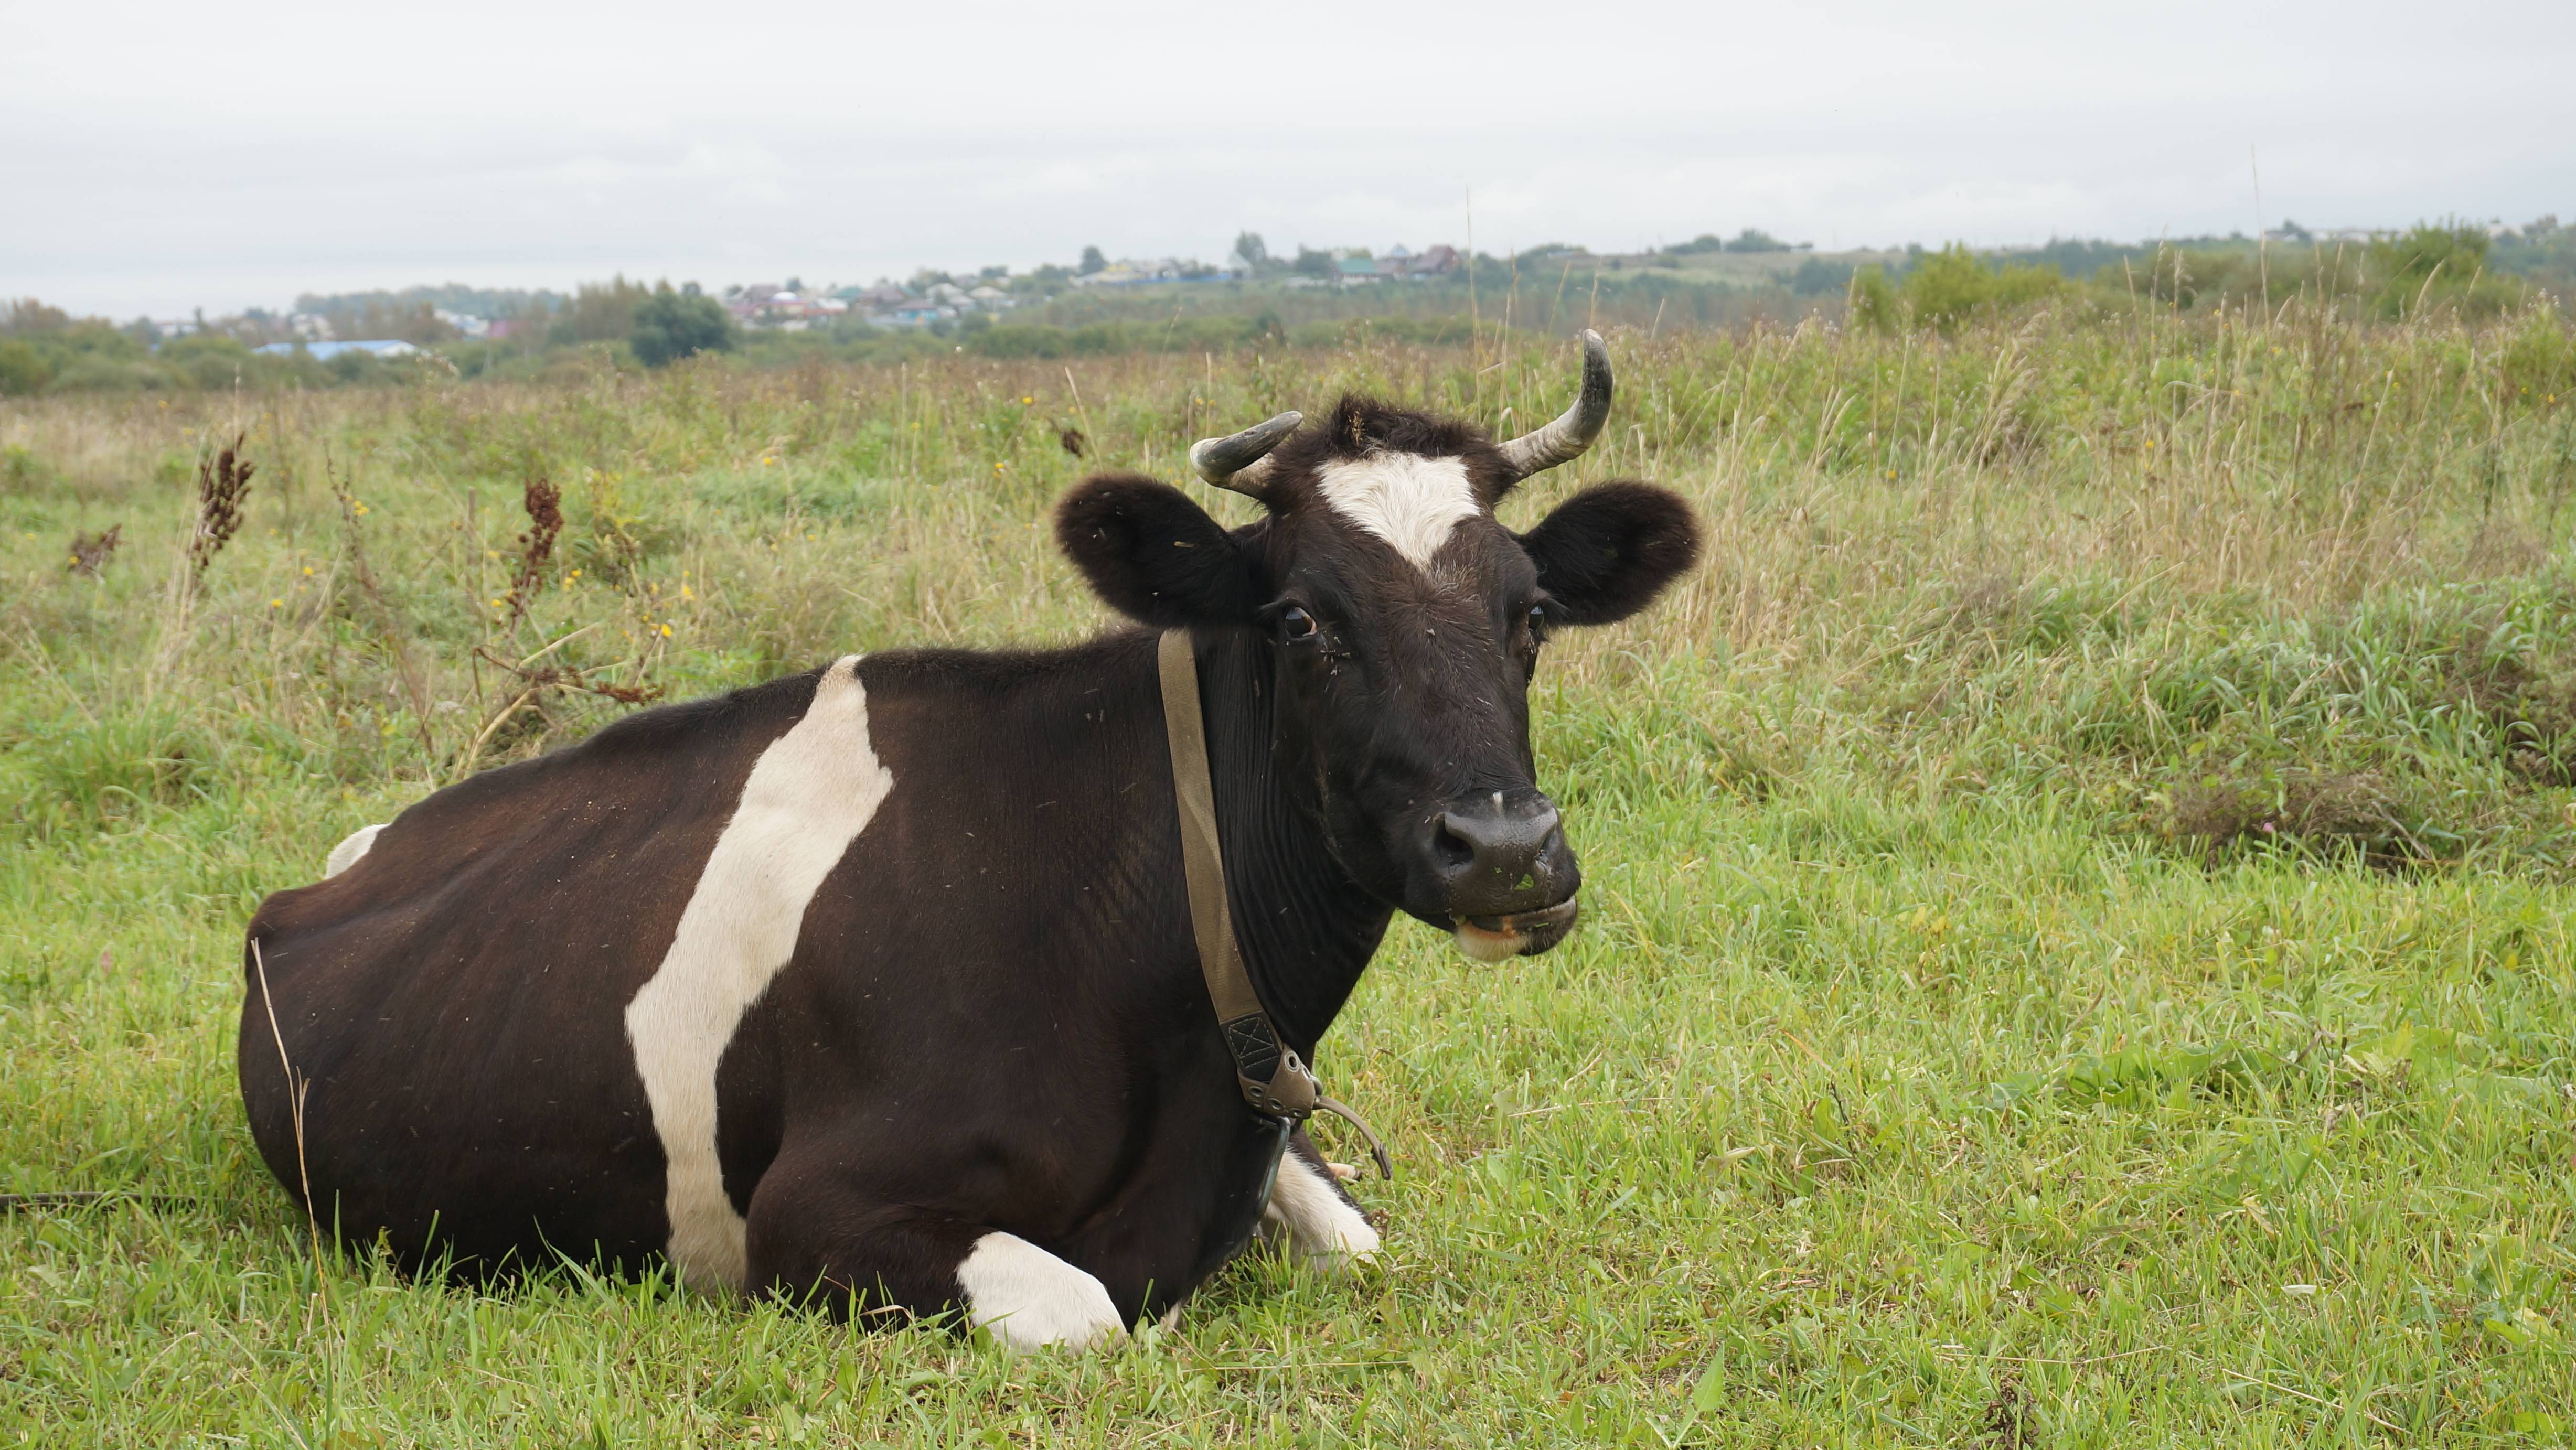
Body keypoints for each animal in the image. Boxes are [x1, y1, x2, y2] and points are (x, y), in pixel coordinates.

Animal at [237, 335, 1690, 1360]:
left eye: (1533, 613)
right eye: (1297, 620)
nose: (1503, 847)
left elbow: (1360, 1243)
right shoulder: (811, 1214)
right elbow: (1086, 1316)